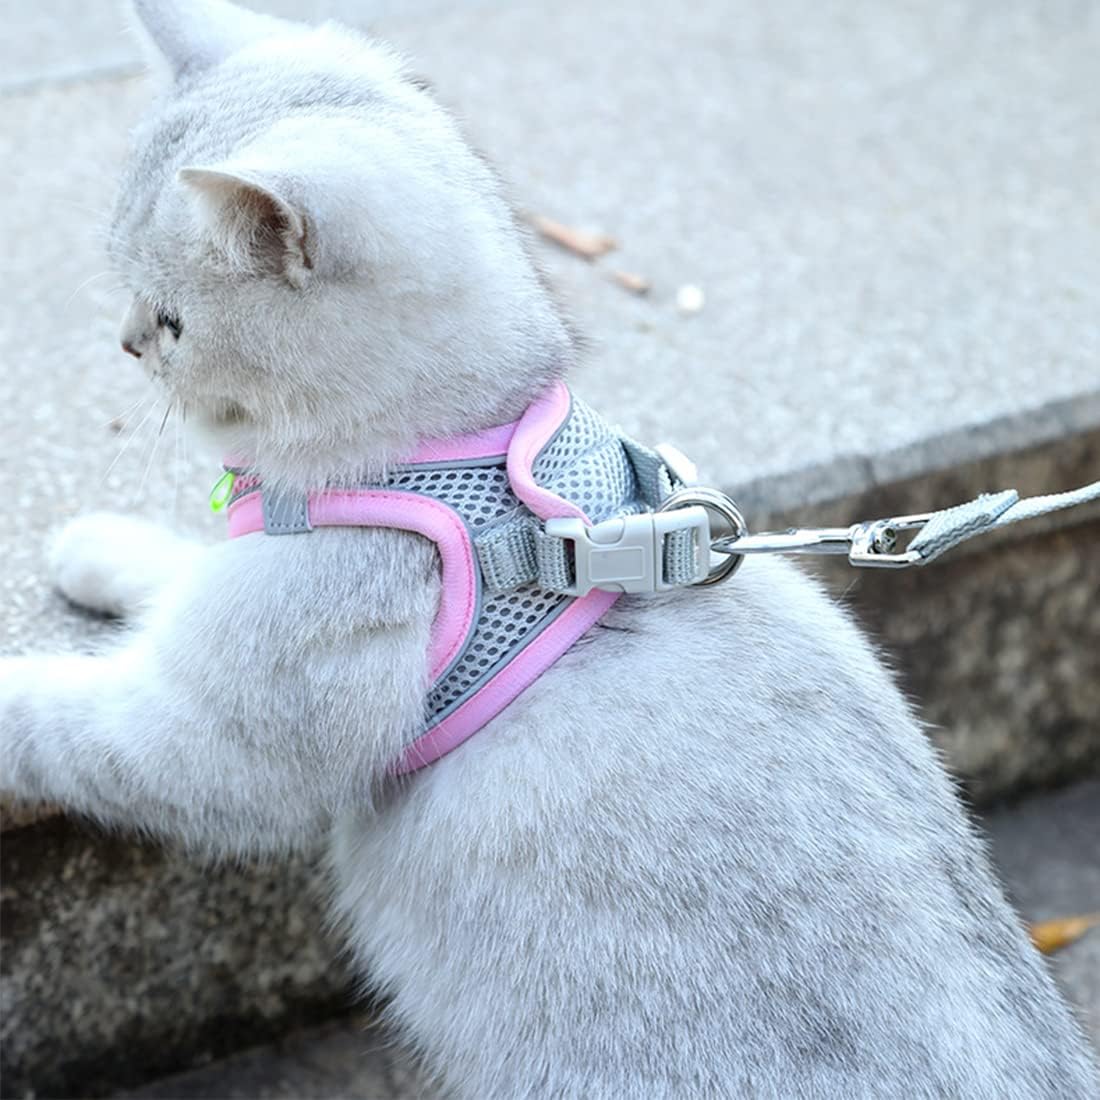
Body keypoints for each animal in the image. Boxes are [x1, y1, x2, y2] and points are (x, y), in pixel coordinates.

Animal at [2, 4, 1100, 1095]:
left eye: (172, 321)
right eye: (129, 301)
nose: (125, 342)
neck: (463, 456)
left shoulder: (216, 738)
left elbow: (70, 720)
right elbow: (173, 578)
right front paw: (100, 549)